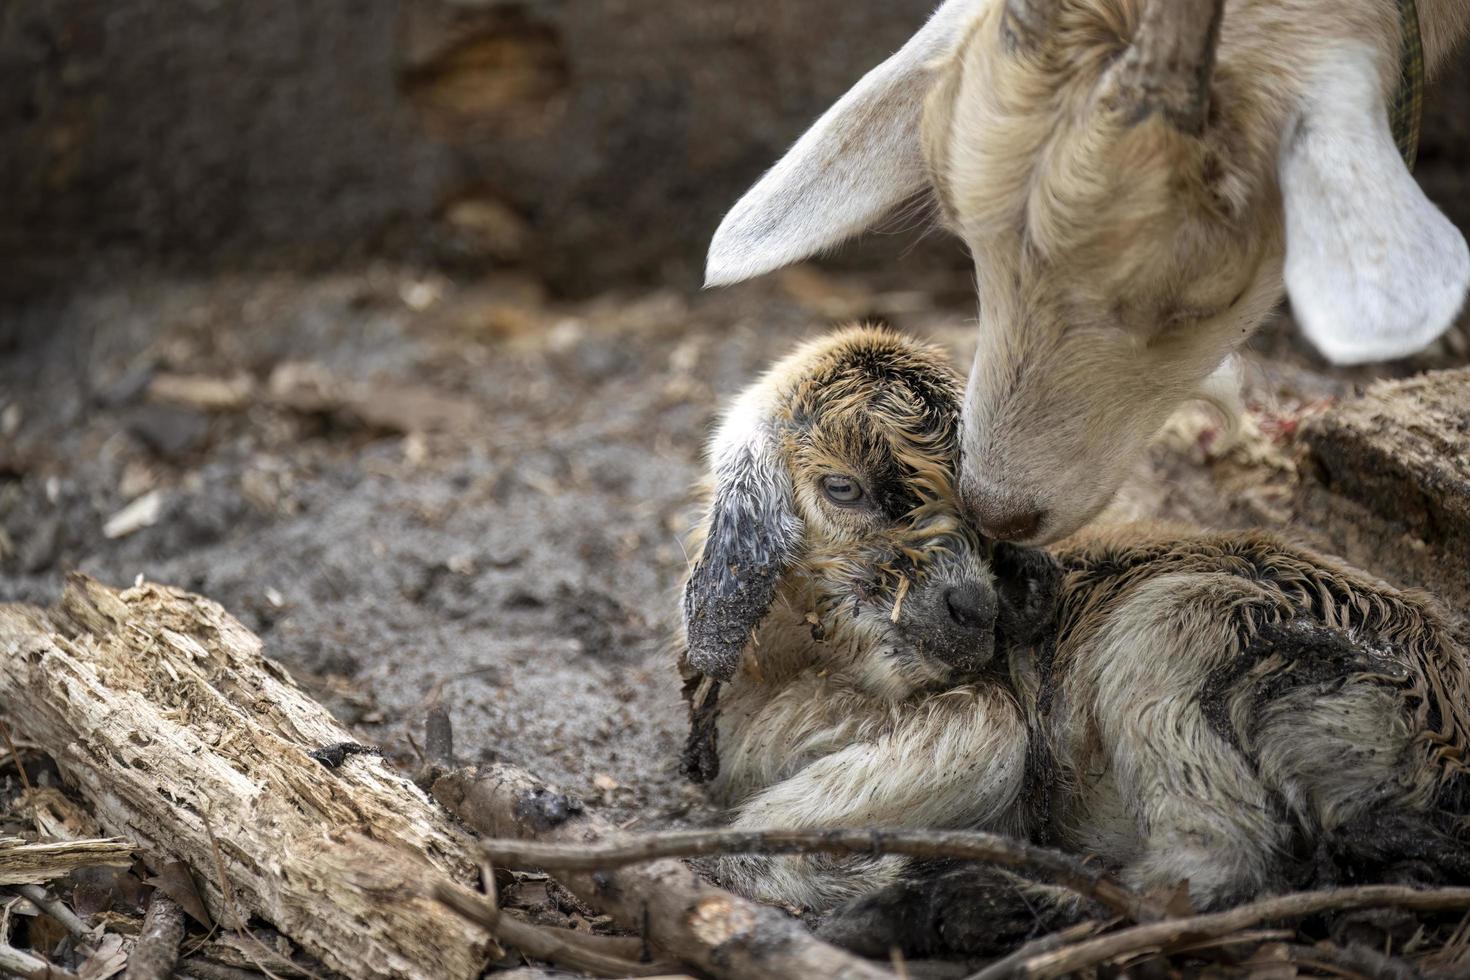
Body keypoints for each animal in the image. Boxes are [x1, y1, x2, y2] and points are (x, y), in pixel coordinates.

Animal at [682, 326, 1470, 952]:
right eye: (842, 489)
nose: (974, 608)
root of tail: (1443, 747)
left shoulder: (981, 721)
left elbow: (745, 846)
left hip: (1179, 626)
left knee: (1217, 863)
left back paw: (945, 905)